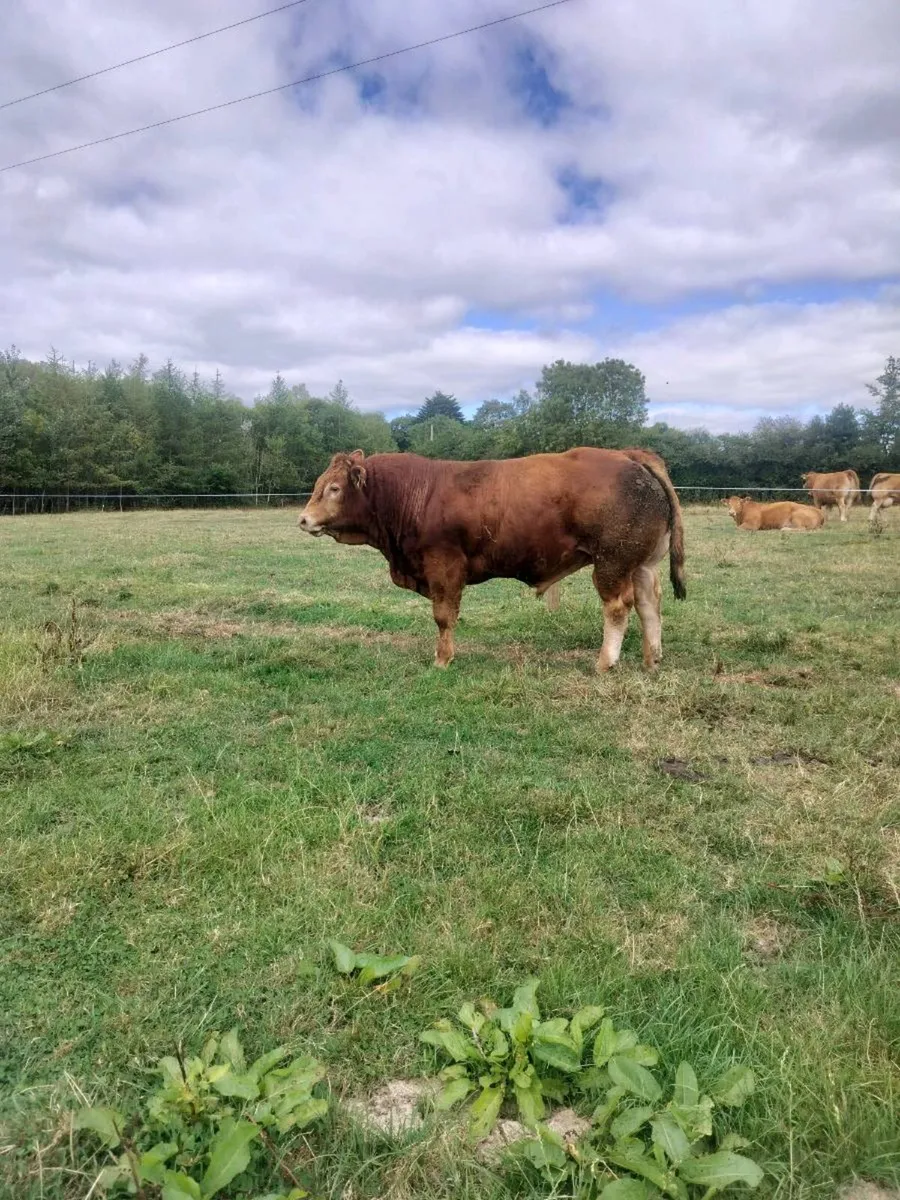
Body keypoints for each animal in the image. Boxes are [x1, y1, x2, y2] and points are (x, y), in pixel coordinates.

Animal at [298, 448, 686, 672]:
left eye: (334, 488)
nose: (303, 519)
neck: (415, 494)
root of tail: (630, 456)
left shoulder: (443, 566)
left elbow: (443, 616)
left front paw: (442, 659)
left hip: (612, 562)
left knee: (619, 607)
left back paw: (605, 663)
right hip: (641, 564)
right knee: (650, 605)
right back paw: (652, 659)